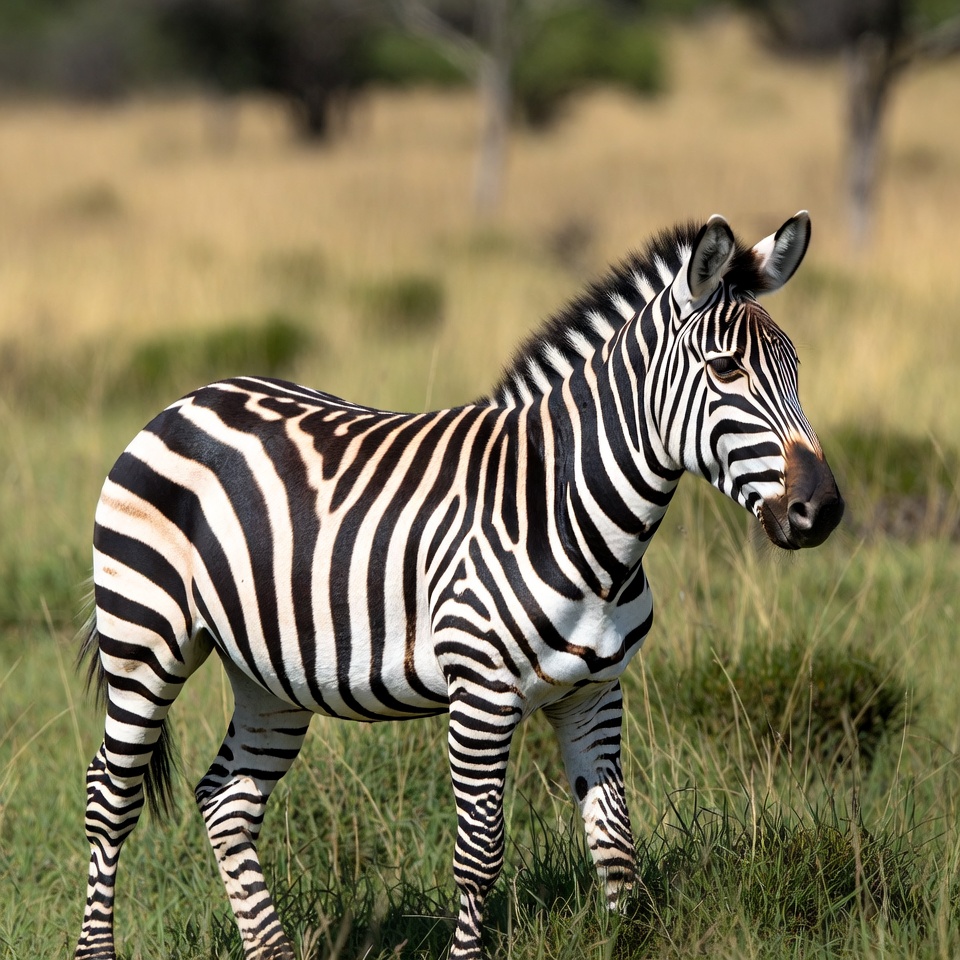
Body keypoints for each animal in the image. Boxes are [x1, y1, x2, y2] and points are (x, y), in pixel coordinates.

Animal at [75, 212, 843, 960]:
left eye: (797, 368)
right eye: (726, 369)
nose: (825, 510)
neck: (568, 512)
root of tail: (189, 399)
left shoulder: (596, 693)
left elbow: (616, 845)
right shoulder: (482, 697)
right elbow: (480, 854)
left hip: (269, 671)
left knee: (226, 801)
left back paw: (271, 951)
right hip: (144, 640)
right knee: (108, 799)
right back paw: (96, 948)